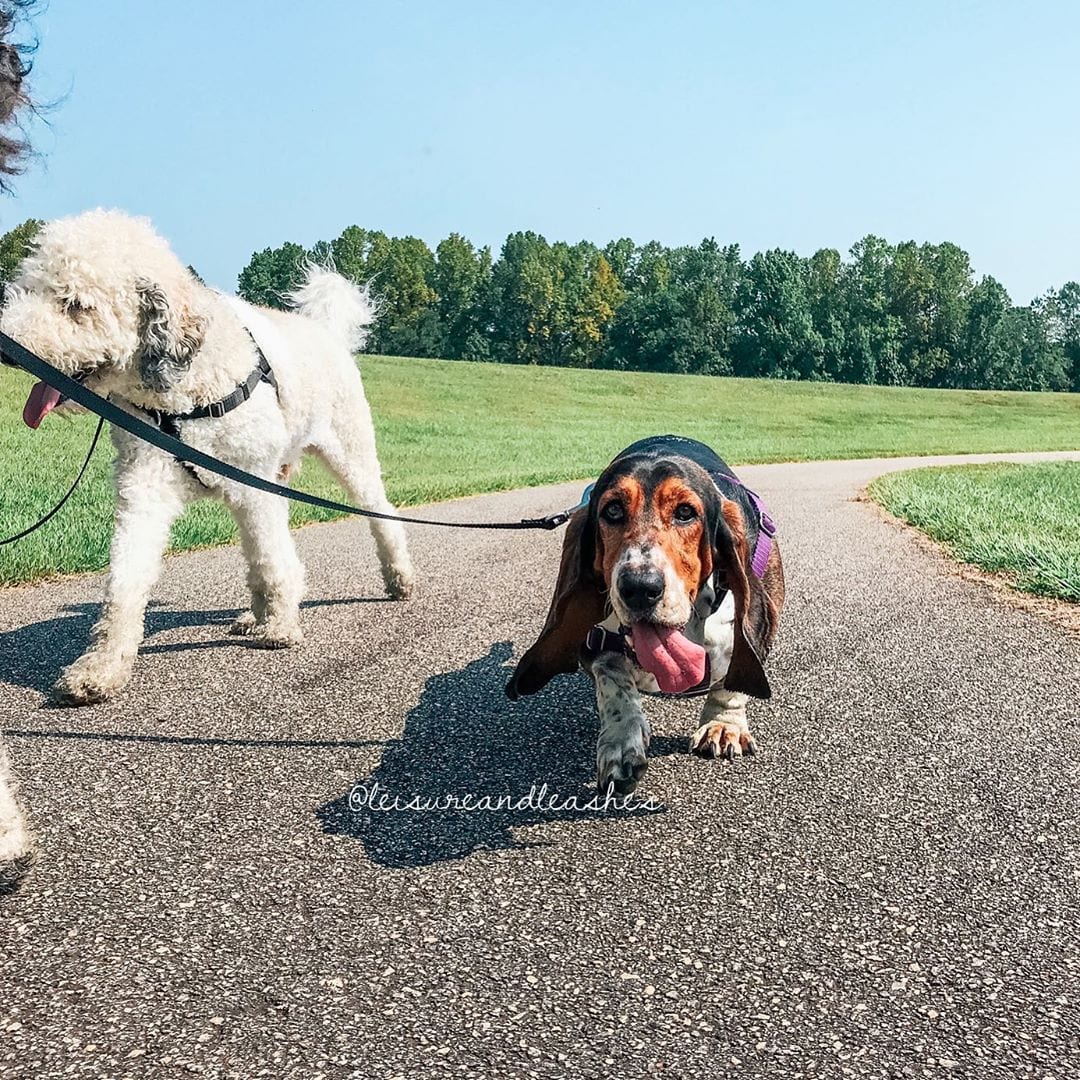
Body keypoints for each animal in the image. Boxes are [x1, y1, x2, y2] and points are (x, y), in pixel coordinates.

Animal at [2, 209, 414, 708]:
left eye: (76, 304)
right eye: (26, 288)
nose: (9, 348)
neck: (184, 389)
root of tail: (325, 331)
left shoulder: (255, 486)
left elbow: (275, 559)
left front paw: (282, 626)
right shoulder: (145, 488)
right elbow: (124, 581)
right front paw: (100, 667)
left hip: (347, 454)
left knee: (379, 514)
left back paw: (397, 579)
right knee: (260, 554)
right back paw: (254, 614)